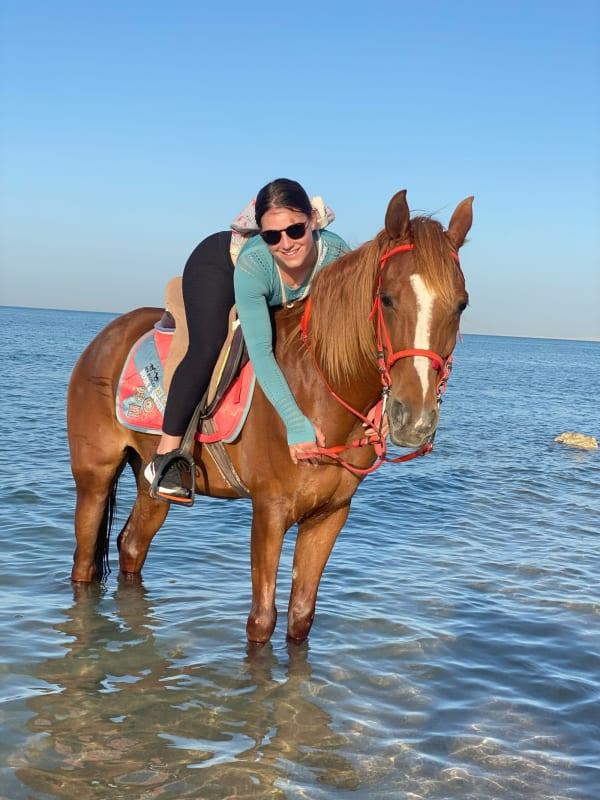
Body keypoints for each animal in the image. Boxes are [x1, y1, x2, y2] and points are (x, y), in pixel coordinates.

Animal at [67, 190, 472, 643]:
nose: (413, 417)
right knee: (83, 564)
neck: (317, 390)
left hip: (151, 486)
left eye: (461, 305)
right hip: (94, 476)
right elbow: (261, 620)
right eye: (387, 298)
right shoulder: (269, 512)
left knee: (132, 547)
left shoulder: (329, 517)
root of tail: (105, 338)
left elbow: (301, 617)